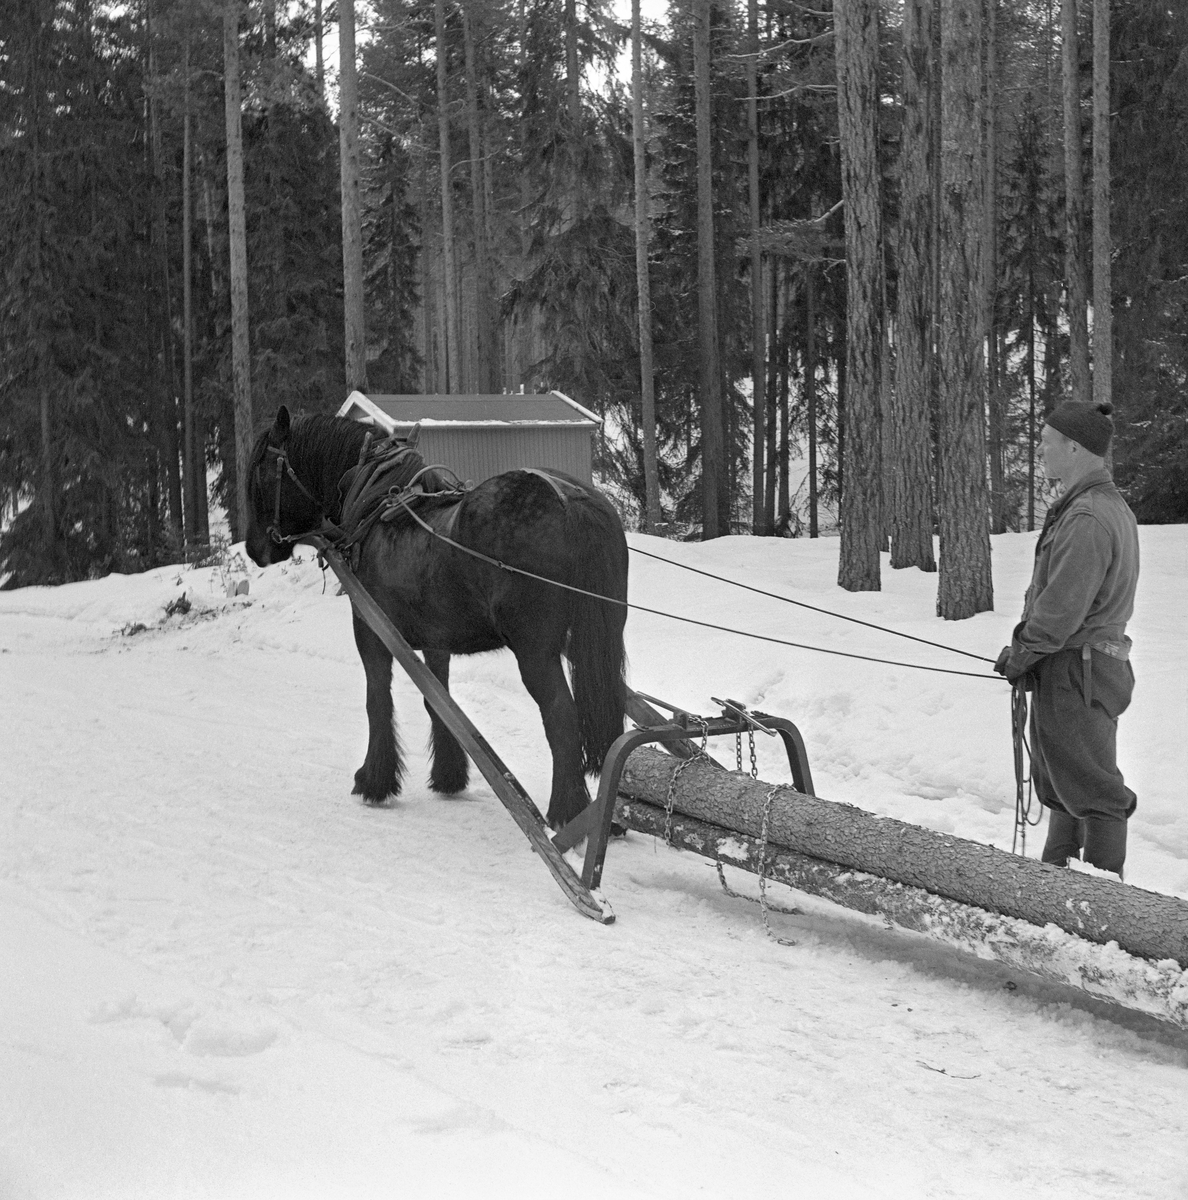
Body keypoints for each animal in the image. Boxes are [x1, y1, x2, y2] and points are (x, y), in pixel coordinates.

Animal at [243, 408, 633, 830]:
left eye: (260, 475)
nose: (253, 549)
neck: (371, 506)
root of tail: (571, 499)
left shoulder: (370, 630)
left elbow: (377, 700)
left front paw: (374, 780)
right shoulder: (436, 641)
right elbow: (439, 702)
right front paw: (449, 776)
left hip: (535, 649)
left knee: (561, 716)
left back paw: (566, 813)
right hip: (595, 638)